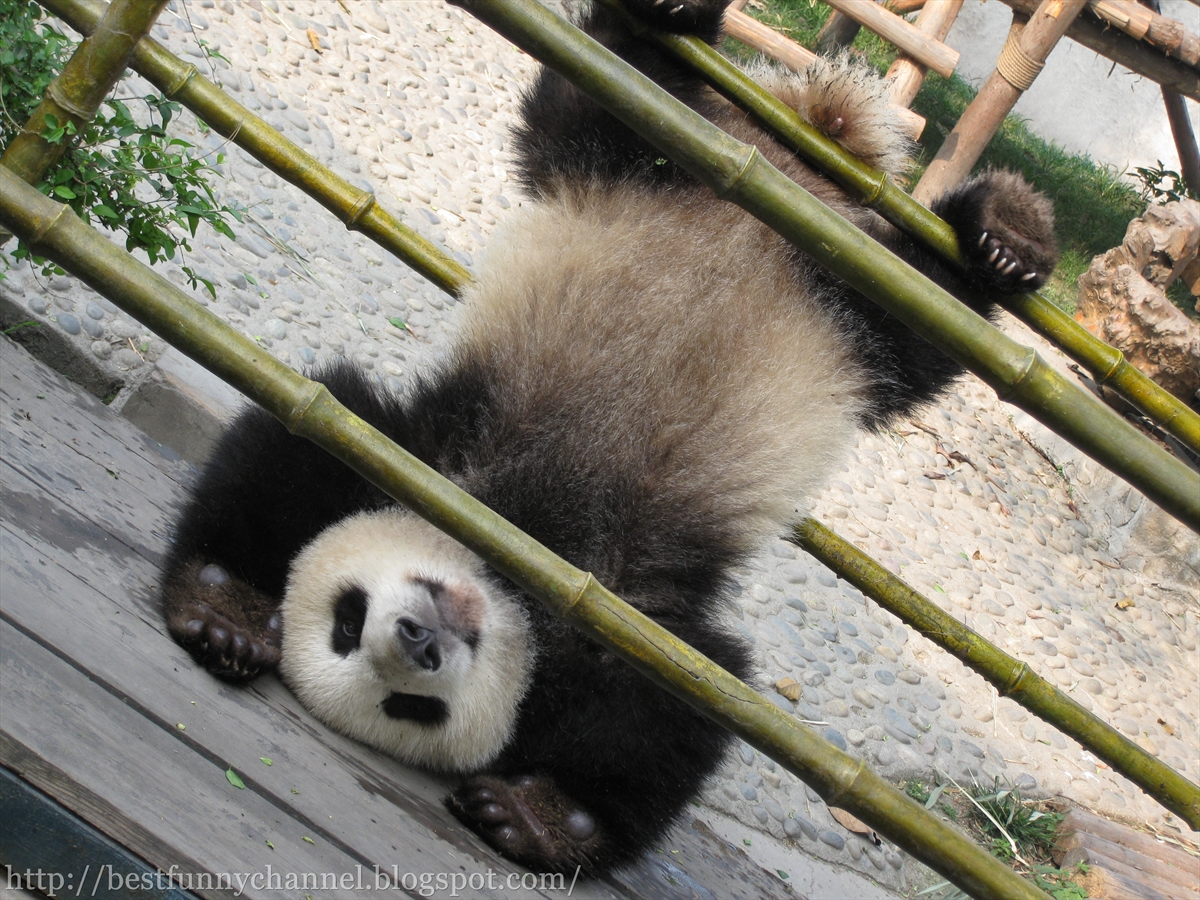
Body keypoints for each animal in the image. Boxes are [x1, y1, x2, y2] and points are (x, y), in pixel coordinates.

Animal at [160, 0, 1057, 876]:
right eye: (405, 702)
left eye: (349, 621)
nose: (418, 637)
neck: (520, 538)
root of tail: (783, 164)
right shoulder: (555, 582)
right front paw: (227, 617)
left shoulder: (441, 463)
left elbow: (680, 701)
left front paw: (544, 814)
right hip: (824, 296)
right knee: (906, 332)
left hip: (715, 223)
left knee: (612, 100)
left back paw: (1005, 232)